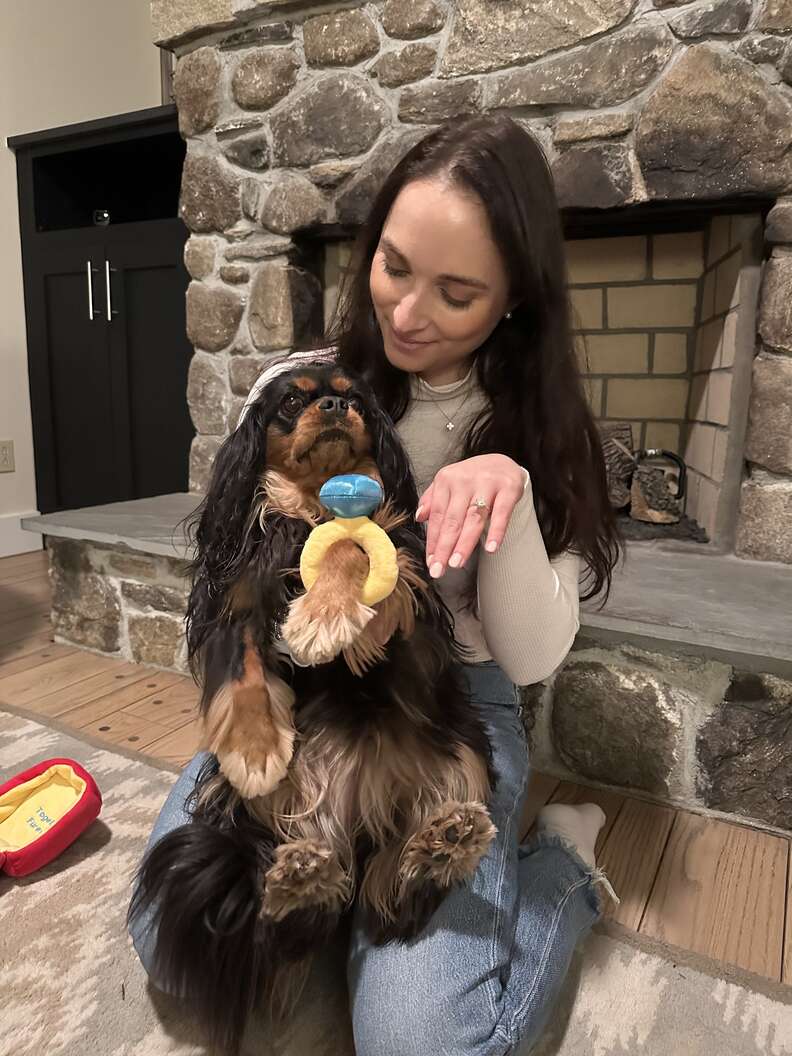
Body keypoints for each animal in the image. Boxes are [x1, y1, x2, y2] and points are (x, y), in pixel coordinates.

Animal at [127, 361, 498, 1056]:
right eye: (290, 402)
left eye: (356, 400)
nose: (331, 406)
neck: (303, 510)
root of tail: (349, 821)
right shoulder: (236, 612)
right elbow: (245, 677)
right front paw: (255, 749)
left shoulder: (405, 591)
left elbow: (352, 547)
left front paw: (319, 620)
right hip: (248, 809)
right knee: (305, 920)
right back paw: (302, 880)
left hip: (462, 754)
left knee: (387, 894)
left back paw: (441, 844)